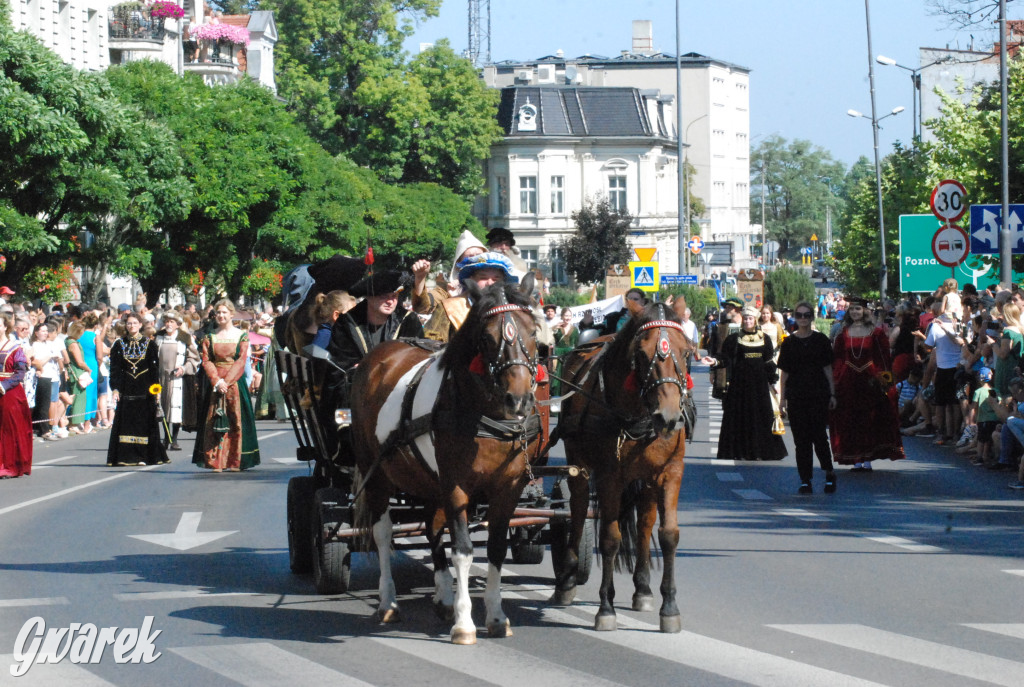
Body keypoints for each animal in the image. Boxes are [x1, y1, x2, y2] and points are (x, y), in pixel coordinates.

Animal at [350, 278, 544, 647]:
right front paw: (465, 623)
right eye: (487, 338)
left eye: (534, 332)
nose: (519, 399)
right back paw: (388, 602)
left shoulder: (508, 488)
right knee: (383, 534)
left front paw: (496, 617)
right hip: (376, 472)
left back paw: (442, 596)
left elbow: (495, 547)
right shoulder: (456, 486)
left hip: (427, 479)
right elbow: (464, 550)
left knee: (431, 526)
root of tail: (381, 354)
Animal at [552, 301, 696, 634]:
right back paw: (566, 579)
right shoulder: (610, 478)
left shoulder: (671, 473)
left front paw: (669, 607)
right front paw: (606, 608)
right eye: (641, 354)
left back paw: (642, 588)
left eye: (685, 352)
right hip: (578, 466)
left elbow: (668, 534)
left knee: (644, 523)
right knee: (577, 510)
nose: (668, 417)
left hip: (645, 480)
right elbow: (610, 538)